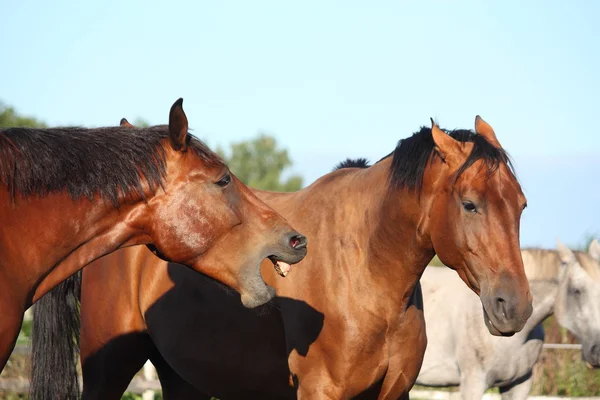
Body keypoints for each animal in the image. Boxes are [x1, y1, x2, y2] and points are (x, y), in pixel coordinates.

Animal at [32, 115, 532, 400]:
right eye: (469, 204)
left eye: (522, 205)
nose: (514, 306)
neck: (366, 274)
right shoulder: (320, 393)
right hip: (108, 368)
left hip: (182, 376)